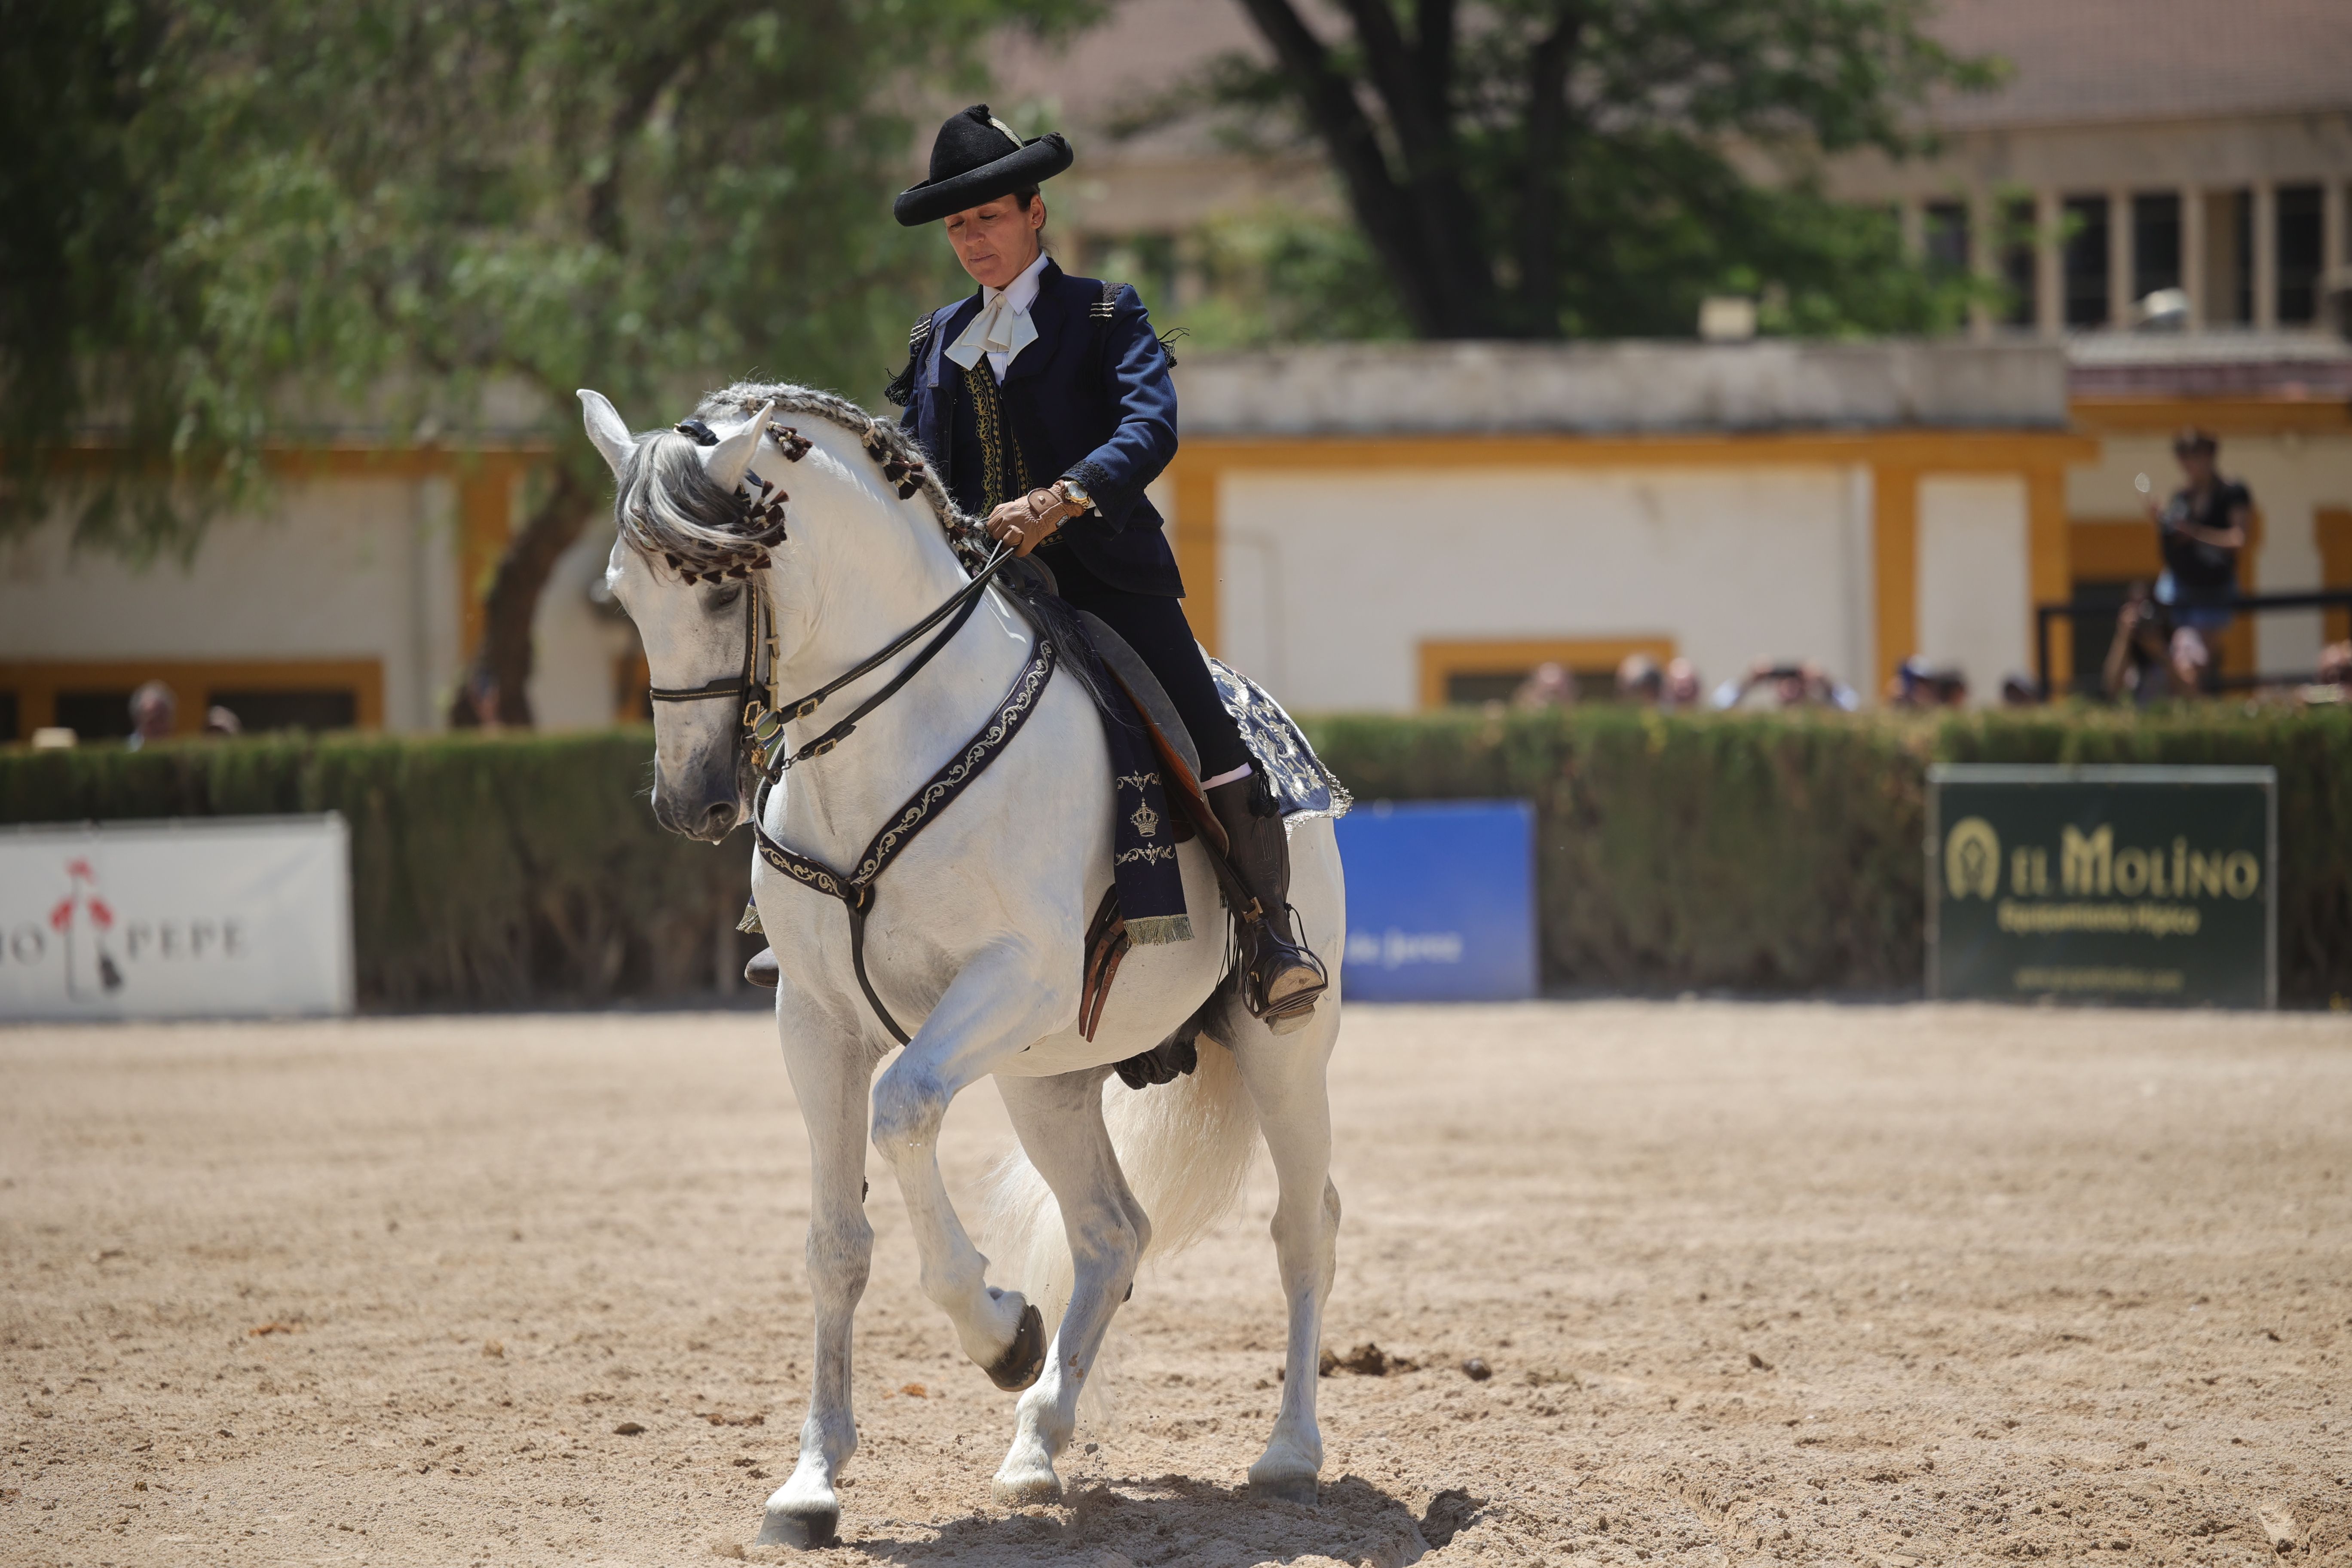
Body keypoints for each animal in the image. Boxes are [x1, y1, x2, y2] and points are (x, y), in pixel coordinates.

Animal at [577, 380, 1347, 1548]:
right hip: (1047, 1076)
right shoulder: (814, 1021)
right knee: (1110, 1232)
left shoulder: (1010, 977)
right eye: (624, 592)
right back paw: (1036, 1447)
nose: (690, 800)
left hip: (1278, 1049)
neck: (884, 743)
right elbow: (835, 1241)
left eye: (724, 588)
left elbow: (902, 1111)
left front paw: (997, 1332)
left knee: (1302, 1226)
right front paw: (811, 1481)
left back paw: (1288, 1453)